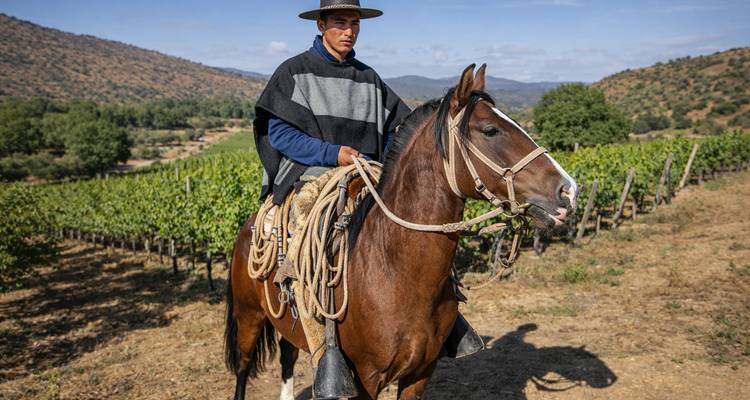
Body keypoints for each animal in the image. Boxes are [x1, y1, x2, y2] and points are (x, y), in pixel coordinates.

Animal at [224, 64, 578, 400]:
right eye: (490, 130)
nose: (569, 191)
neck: (395, 273)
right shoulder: (365, 381)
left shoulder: (420, 374)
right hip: (249, 315)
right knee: (243, 366)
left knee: (287, 356)